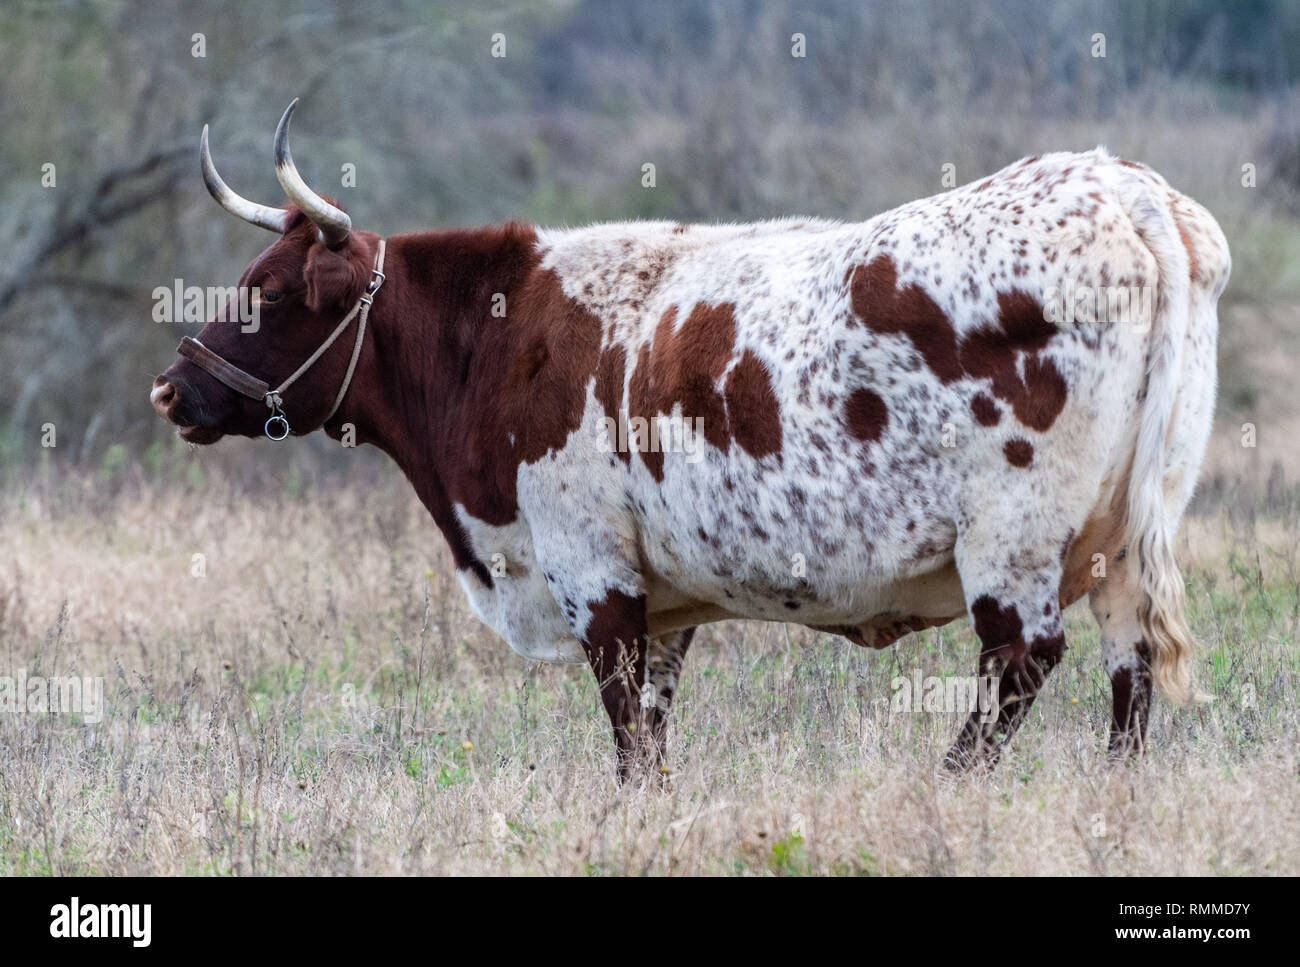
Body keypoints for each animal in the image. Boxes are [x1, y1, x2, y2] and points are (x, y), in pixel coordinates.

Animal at [153, 100, 1229, 782]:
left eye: (271, 292)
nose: (173, 388)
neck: (500, 333)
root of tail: (1127, 191)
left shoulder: (594, 577)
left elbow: (629, 742)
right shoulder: (665, 605)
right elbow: (654, 748)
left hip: (1015, 537)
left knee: (1020, 662)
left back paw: (949, 784)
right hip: (1130, 532)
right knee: (1130, 671)